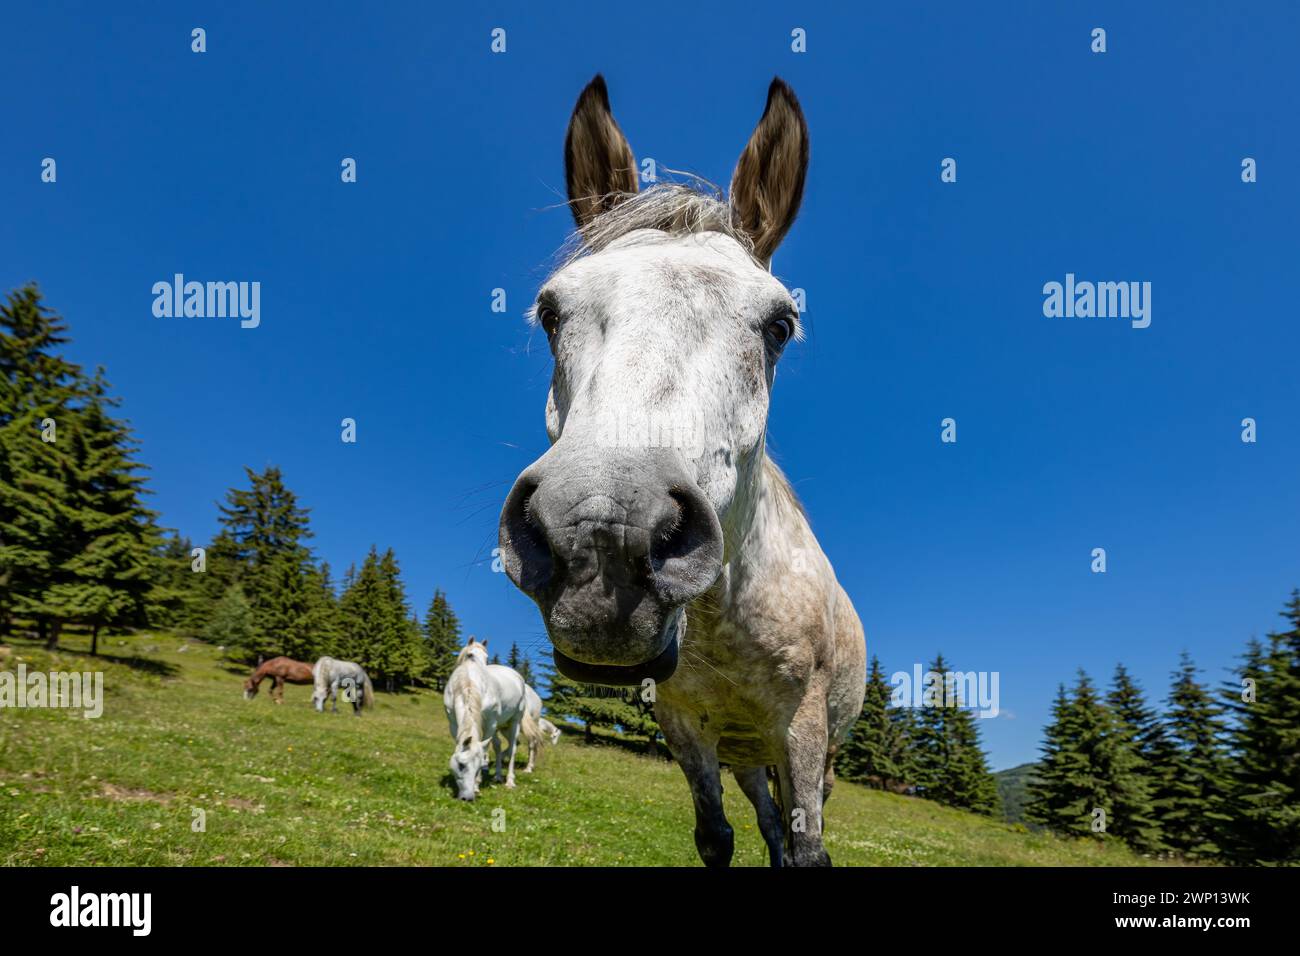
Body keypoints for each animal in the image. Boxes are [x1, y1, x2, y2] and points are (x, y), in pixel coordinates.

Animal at [442, 639, 537, 800]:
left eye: (478, 767)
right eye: (461, 765)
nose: (467, 797)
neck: (467, 682)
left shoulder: (490, 724)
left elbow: (485, 749)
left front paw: (477, 785)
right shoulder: (453, 723)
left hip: (514, 721)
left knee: (513, 747)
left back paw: (509, 781)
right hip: (501, 726)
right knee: (499, 746)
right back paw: (497, 775)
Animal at [496, 76, 866, 866]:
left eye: (780, 326)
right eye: (549, 312)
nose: (602, 533)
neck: (730, 622)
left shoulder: (803, 731)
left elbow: (808, 851)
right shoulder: (685, 729)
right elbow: (716, 837)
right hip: (746, 759)